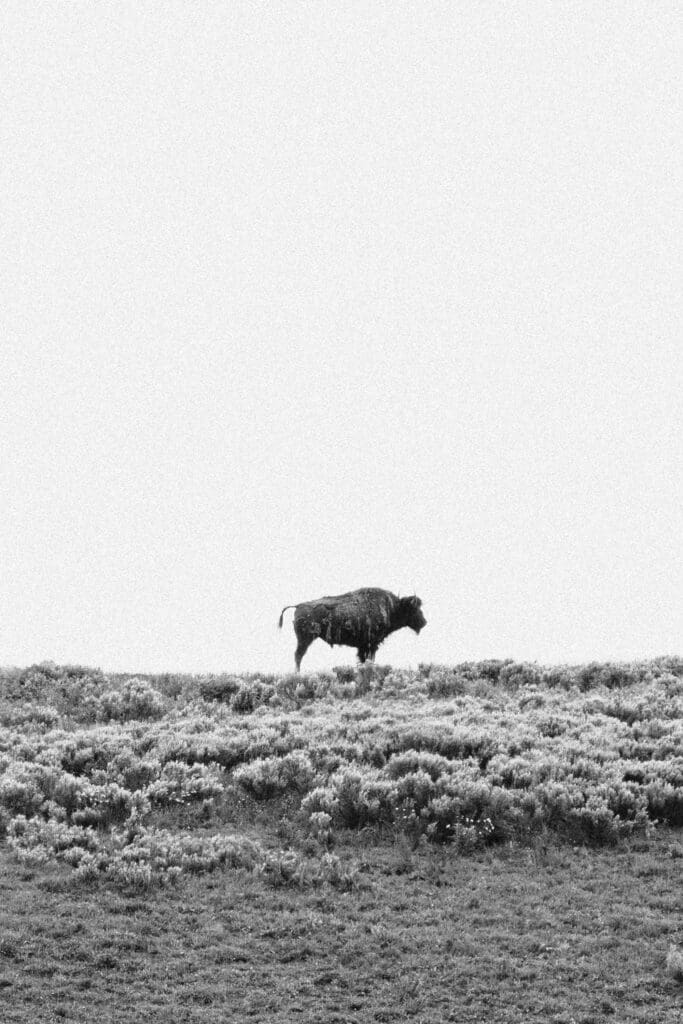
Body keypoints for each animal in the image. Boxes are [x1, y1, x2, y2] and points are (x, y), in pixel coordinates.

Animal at [278, 587, 426, 671]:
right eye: (414, 609)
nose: (424, 622)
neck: (392, 607)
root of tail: (298, 606)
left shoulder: (363, 646)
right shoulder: (371, 645)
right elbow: (369, 659)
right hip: (305, 639)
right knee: (298, 655)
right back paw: (297, 674)